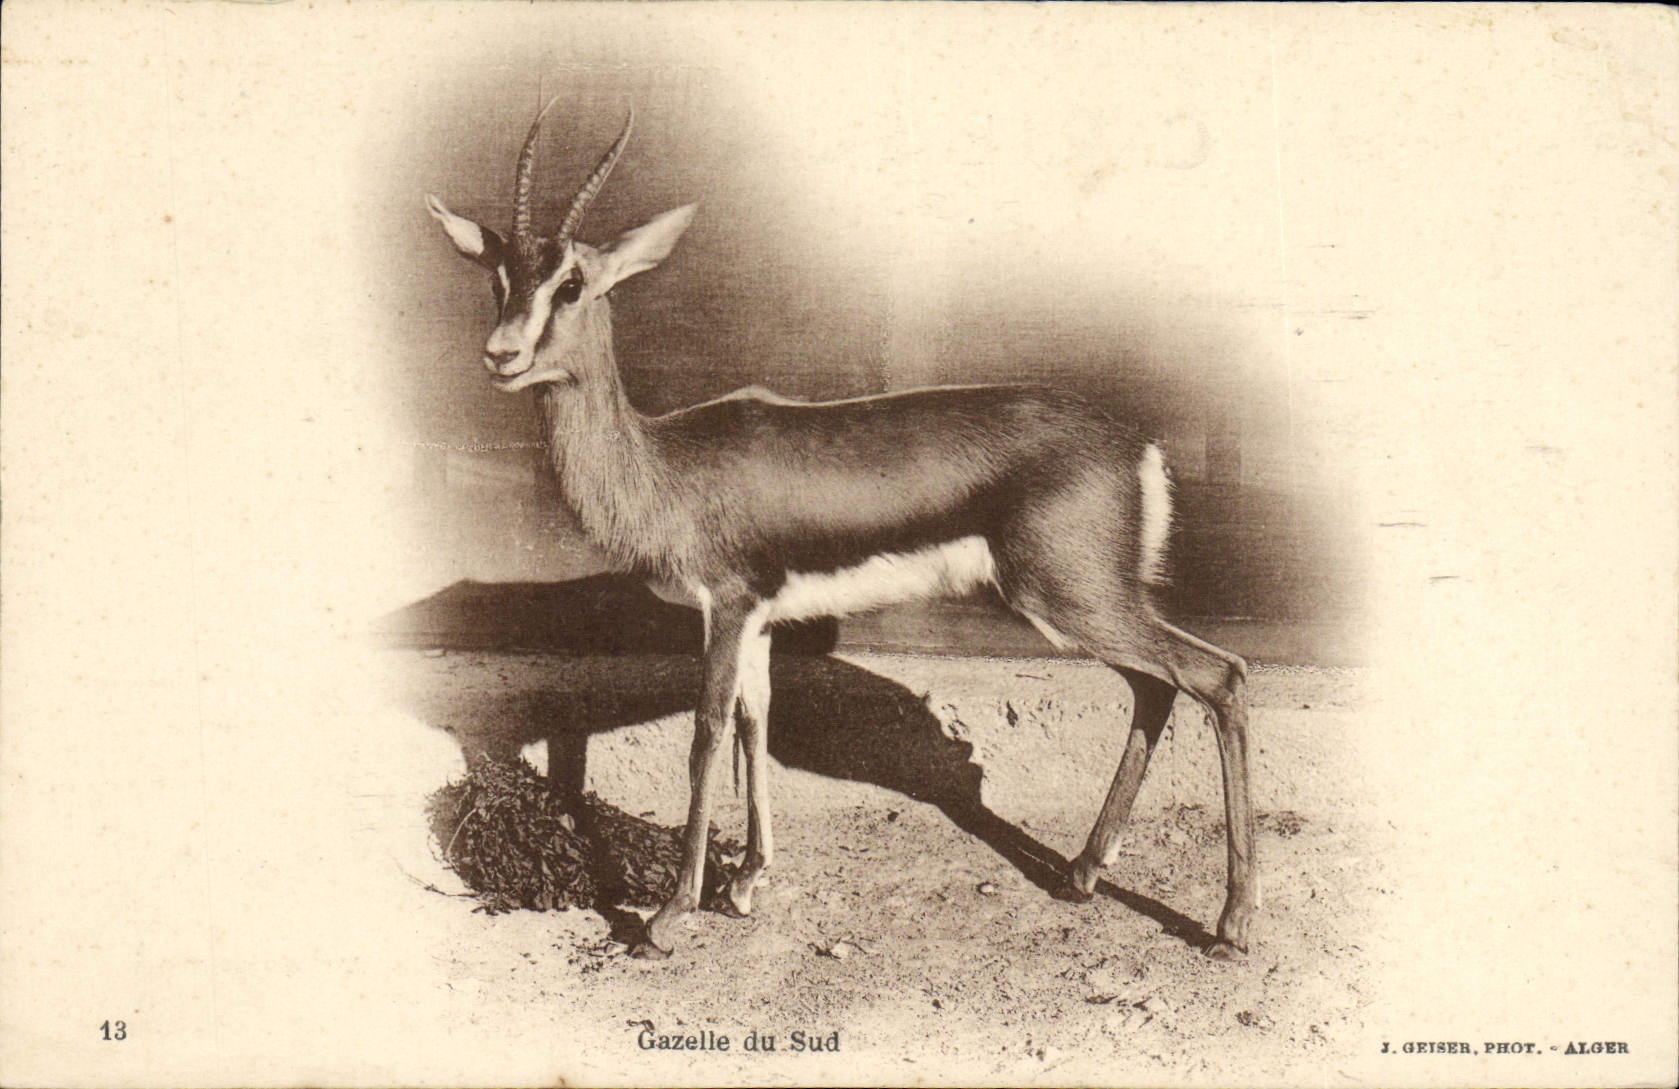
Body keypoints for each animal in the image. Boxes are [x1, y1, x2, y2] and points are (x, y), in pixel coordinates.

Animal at [425, 99, 1257, 961]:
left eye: (572, 284)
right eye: (498, 277)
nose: (501, 354)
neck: (665, 464)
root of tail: (1137, 445)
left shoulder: (725, 606)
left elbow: (706, 730)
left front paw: (666, 915)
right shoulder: (759, 617)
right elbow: (755, 720)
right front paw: (747, 882)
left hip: (1071, 598)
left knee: (1219, 676)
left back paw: (1228, 922)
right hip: (1082, 604)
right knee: (1156, 687)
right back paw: (1083, 874)